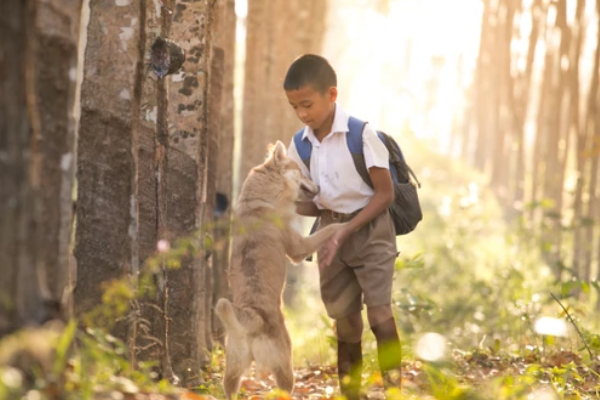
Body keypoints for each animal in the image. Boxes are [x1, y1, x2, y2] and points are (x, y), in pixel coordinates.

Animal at [216, 141, 346, 400]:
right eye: (302, 172)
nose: (318, 187)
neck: (261, 197)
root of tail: (253, 319)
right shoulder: (298, 247)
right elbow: (329, 230)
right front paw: (346, 224)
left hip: (233, 370)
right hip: (285, 366)